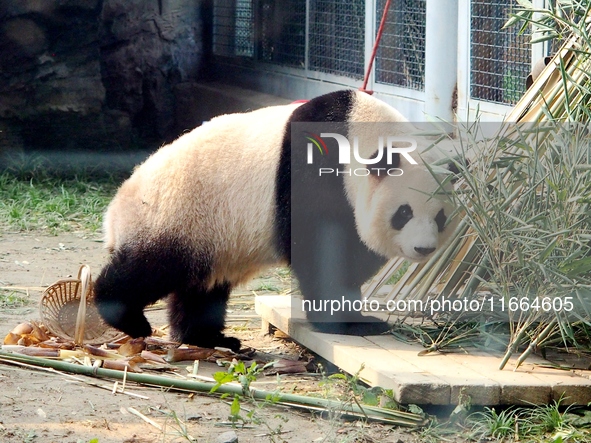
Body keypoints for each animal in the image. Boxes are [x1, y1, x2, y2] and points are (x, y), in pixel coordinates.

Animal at [96, 91, 458, 354]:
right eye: (404, 213)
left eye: (440, 217)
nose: (423, 248)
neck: (362, 130)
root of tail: (114, 212)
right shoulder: (312, 172)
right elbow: (318, 249)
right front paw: (349, 322)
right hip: (180, 215)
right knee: (151, 267)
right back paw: (126, 316)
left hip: (210, 237)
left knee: (201, 289)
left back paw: (209, 338)